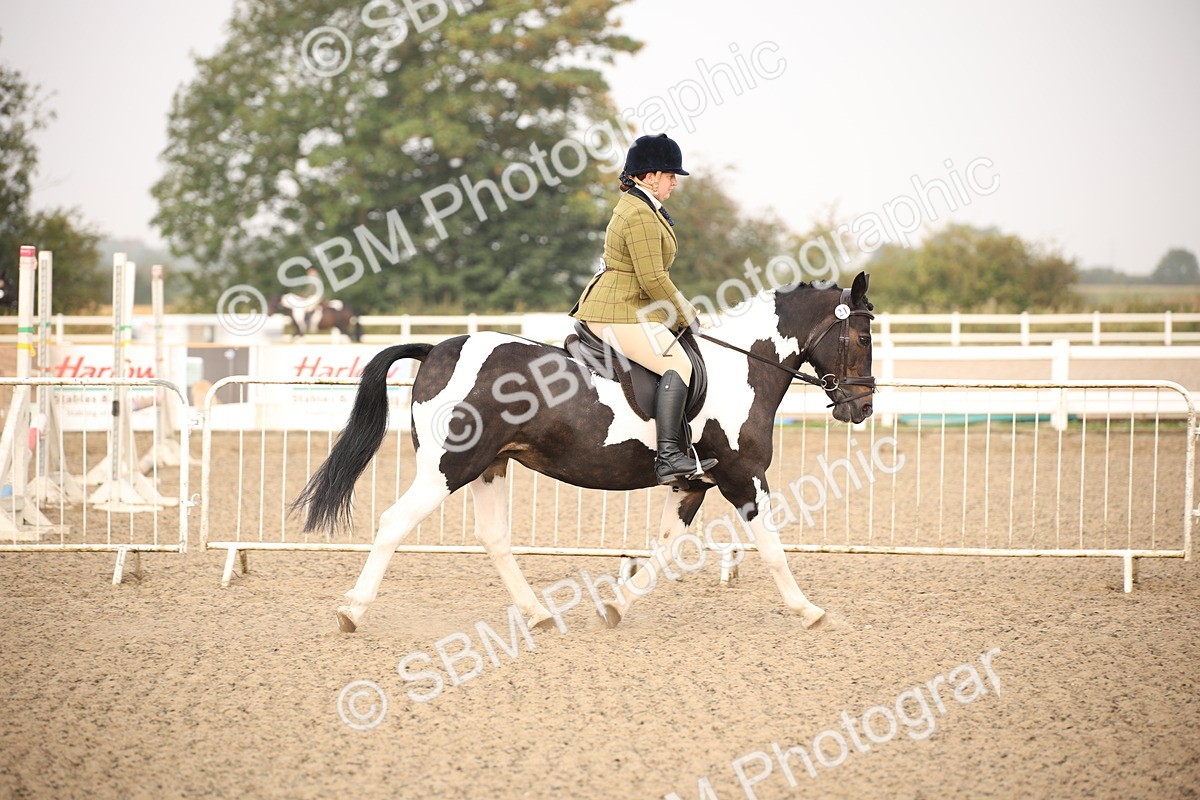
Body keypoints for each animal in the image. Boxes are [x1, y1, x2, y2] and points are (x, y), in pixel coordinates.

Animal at [293, 272, 876, 633]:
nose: (863, 407)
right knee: (395, 522)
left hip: (489, 467)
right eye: (864, 338)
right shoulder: (743, 477)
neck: (743, 368)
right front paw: (812, 612)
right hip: (447, 469)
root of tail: (436, 348)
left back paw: (537, 615)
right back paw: (352, 611)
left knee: (494, 538)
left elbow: (664, 550)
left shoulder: (692, 483)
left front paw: (616, 606)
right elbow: (774, 549)